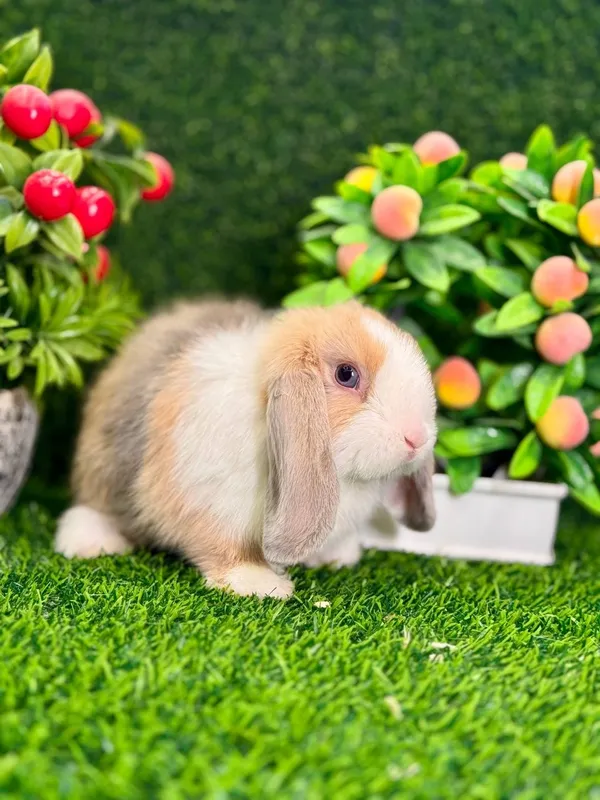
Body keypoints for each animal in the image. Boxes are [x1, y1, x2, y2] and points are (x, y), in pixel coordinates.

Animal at [55, 298, 437, 599]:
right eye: (346, 374)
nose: (417, 437)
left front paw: (338, 556)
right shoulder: (205, 501)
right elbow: (224, 548)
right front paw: (261, 584)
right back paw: (88, 542)